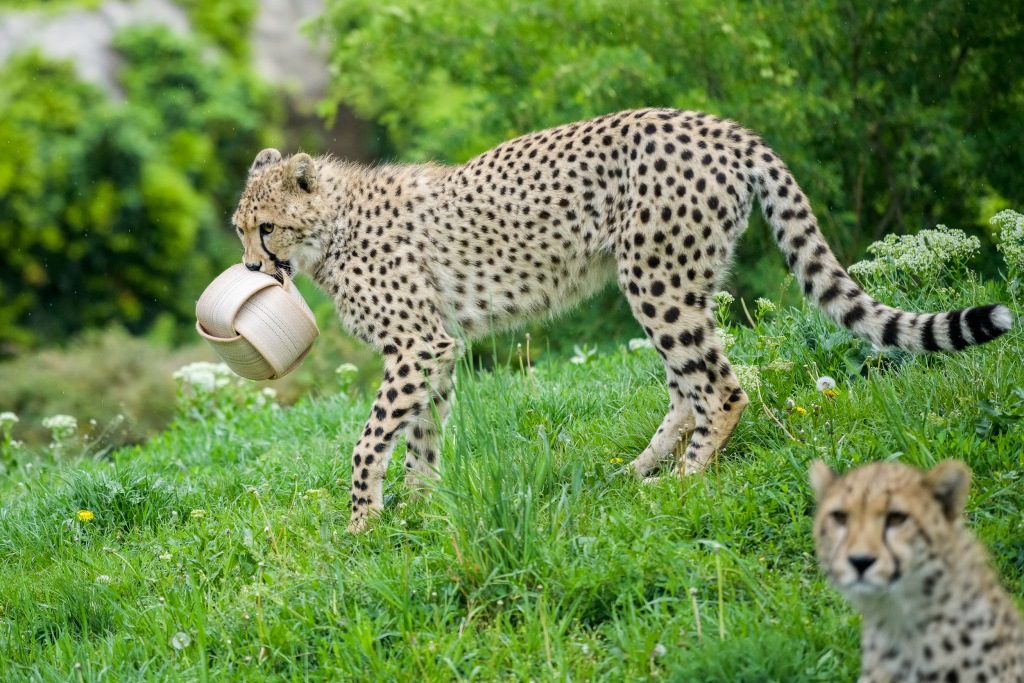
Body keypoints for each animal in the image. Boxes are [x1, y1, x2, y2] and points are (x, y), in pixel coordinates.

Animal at [228, 108, 1011, 532]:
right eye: (240, 229)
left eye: (265, 228)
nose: (253, 270)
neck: (331, 224)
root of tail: (719, 125)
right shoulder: (436, 346)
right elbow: (420, 433)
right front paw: (423, 506)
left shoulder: (417, 342)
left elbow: (370, 441)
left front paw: (363, 520)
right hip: (676, 279)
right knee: (687, 387)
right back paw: (639, 467)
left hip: (656, 276)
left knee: (721, 386)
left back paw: (685, 480)